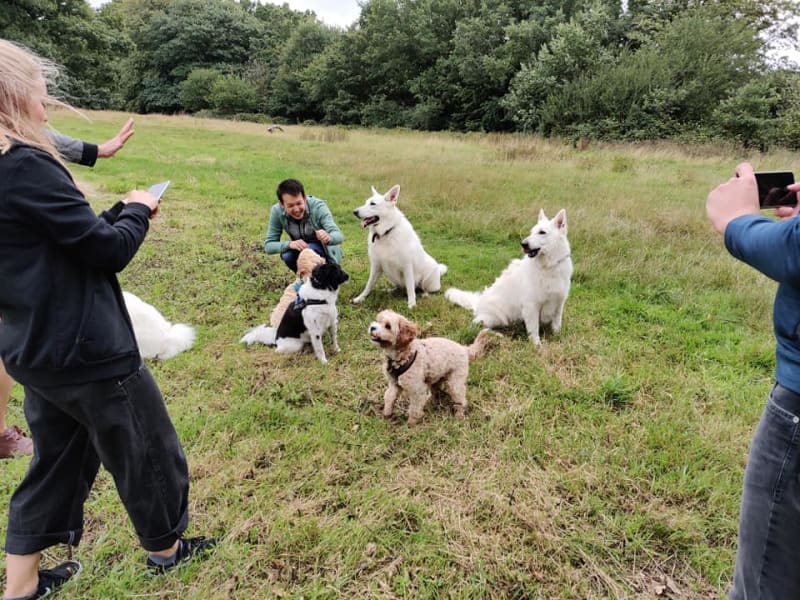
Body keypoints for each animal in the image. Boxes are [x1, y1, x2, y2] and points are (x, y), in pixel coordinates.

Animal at [446, 209, 572, 344]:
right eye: (531, 232)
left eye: (542, 232)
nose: (523, 244)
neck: (549, 267)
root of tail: (478, 304)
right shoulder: (531, 306)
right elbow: (534, 330)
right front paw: (537, 345)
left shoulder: (559, 303)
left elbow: (557, 323)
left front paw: (558, 336)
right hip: (495, 319)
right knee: (477, 323)